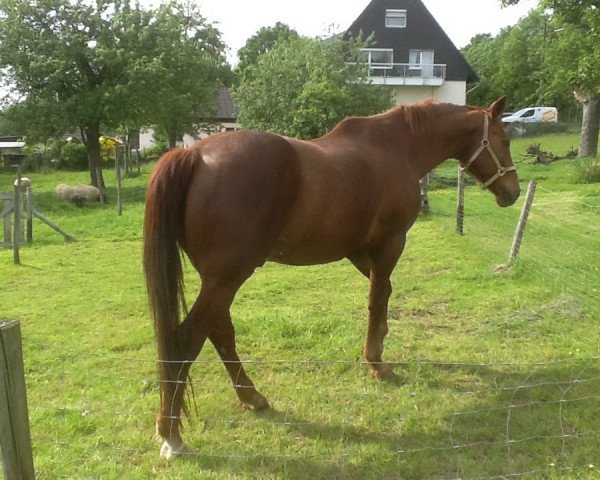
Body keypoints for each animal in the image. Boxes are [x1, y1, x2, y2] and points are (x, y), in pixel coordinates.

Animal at [143, 96, 516, 458]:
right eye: (505, 139)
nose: (512, 191)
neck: (397, 147)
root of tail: (193, 154)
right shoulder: (389, 244)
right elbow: (377, 298)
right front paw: (376, 362)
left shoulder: (358, 250)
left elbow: (384, 292)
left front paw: (380, 343)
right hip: (226, 279)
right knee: (188, 340)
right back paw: (172, 434)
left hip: (219, 280)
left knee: (220, 334)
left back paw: (251, 397)